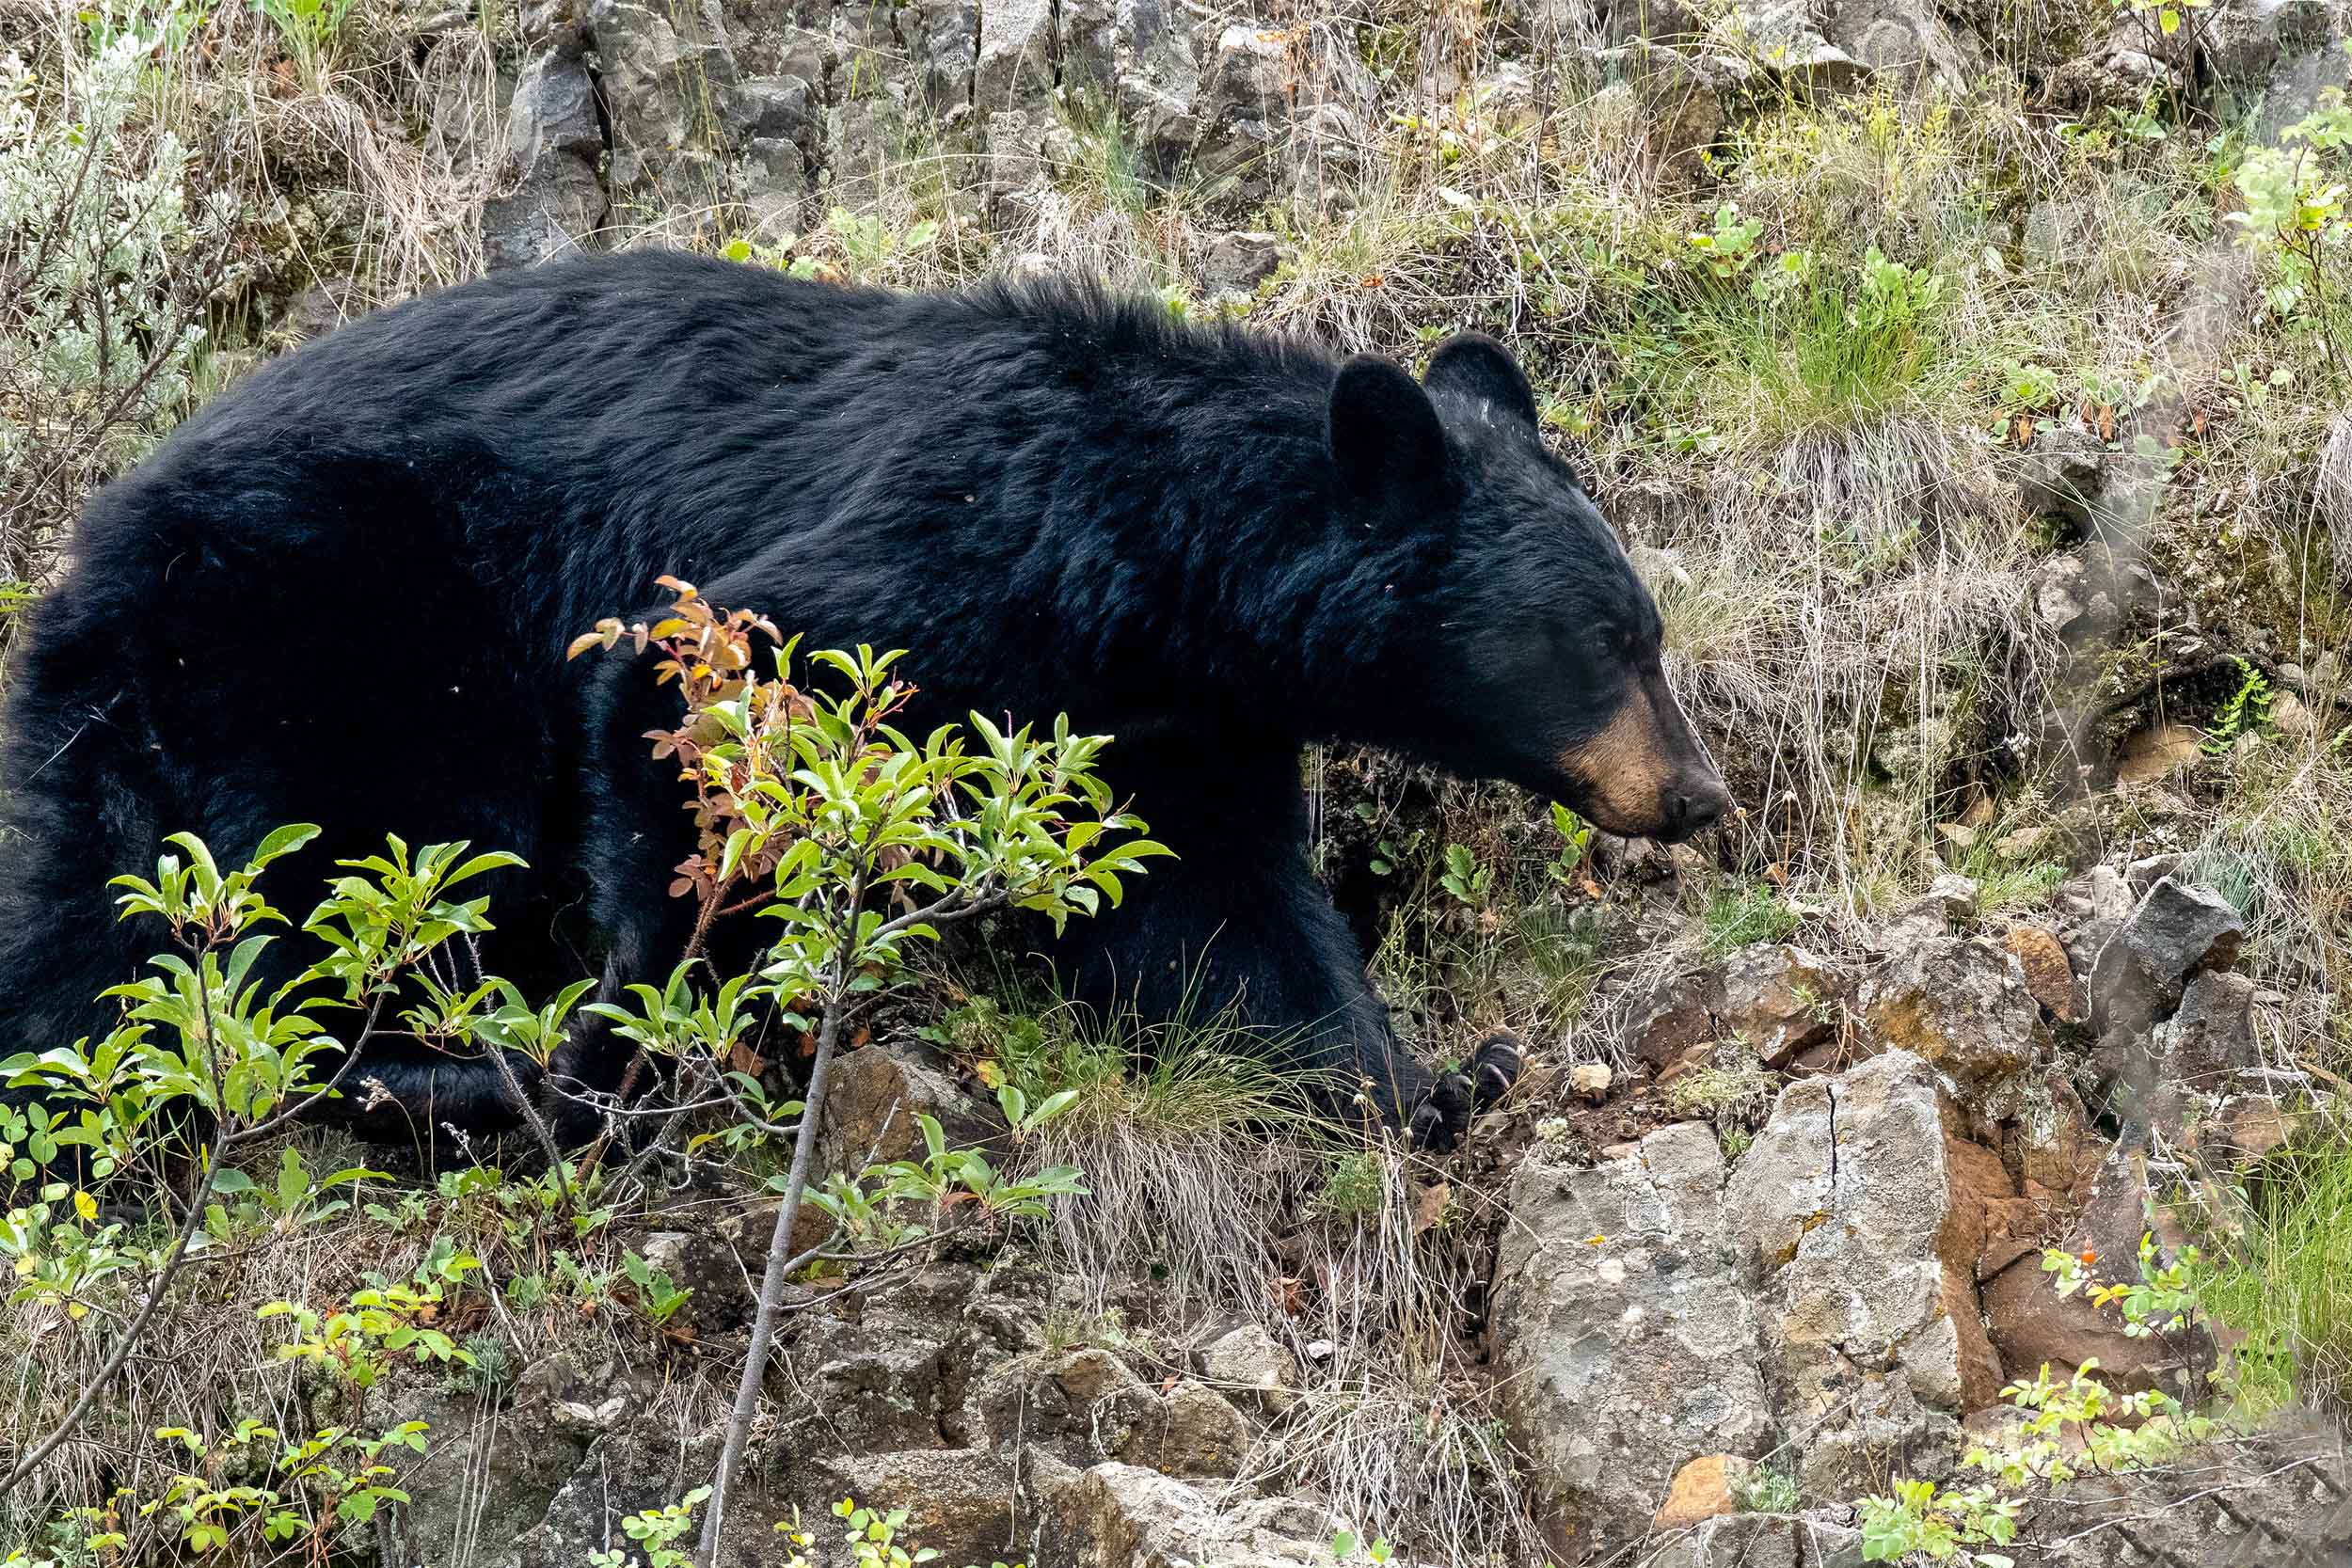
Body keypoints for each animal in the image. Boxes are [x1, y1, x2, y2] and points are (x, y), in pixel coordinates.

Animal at [0, 251, 1729, 1151]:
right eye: (1613, 639)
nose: (1702, 795)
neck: (1157, 561)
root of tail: (82, 556)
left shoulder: (1161, 722)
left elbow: (1221, 918)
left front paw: (1430, 1079)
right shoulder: (945, 557)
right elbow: (699, 705)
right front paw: (649, 1039)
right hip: (321, 613)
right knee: (351, 854)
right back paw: (452, 1072)